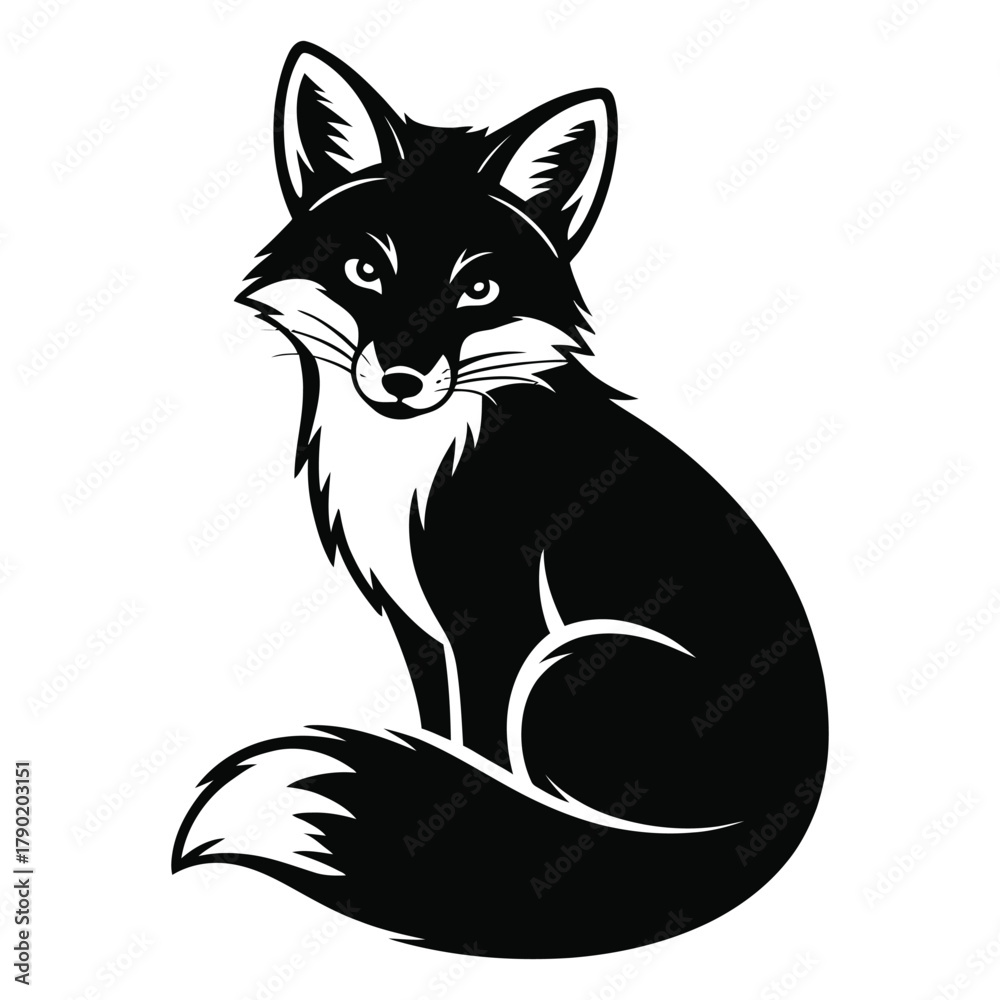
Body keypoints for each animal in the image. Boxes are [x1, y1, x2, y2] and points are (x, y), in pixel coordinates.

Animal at [172, 41, 829, 959]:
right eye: (365, 270)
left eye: (477, 290)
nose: (402, 381)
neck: (418, 466)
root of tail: (790, 802)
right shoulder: (420, 626)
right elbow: (442, 737)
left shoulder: (497, 629)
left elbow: (480, 758)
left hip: (565, 669)